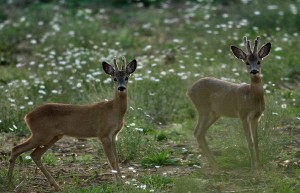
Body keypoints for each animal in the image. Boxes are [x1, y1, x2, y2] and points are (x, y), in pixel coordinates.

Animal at [7, 56, 138, 191]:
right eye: (114, 78)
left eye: (127, 77)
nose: (121, 88)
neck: (113, 110)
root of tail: (27, 116)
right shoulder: (103, 134)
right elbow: (112, 159)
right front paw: (119, 183)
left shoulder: (113, 135)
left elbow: (116, 158)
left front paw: (122, 182)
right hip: (41, 134)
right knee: (16, 149)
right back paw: (9, 183)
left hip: (53, 136)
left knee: (35, 154)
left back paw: (56, 186)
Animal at [186, 36, 270, 170]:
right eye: (247, 62)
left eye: (259, 61)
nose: (254, 71)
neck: (251, 95)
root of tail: (189, 91)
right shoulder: (243, 115)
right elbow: (249, 141)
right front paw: (253, 168)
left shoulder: (256, 117)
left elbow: (256, 141)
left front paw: (260, 166)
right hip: (203, 109)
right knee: (197, 132)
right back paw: (215, 165)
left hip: (215, 113)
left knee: (201, 133)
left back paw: (215, 163)